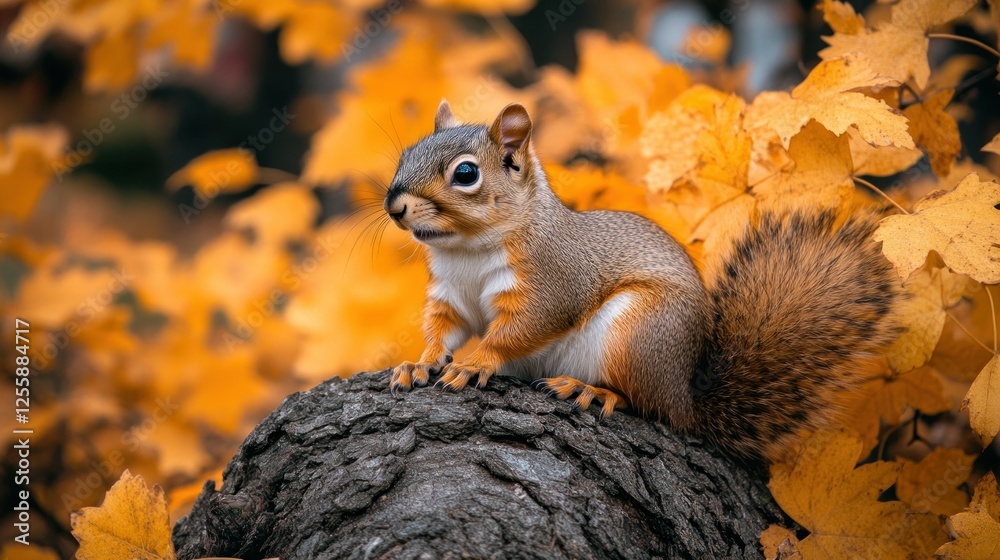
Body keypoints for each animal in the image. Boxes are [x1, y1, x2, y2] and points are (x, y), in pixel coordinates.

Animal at [382, 100, 900, 462]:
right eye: (405, 154)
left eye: (466, 173)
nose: (394, 205)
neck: (466, 251)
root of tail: (684, 395)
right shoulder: (450, 294)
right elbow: (444, 329)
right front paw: (419, 362)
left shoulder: (553, 282)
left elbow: (518, 331)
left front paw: (475, 363)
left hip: (638, 332)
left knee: (647, 406)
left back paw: (593, 391)